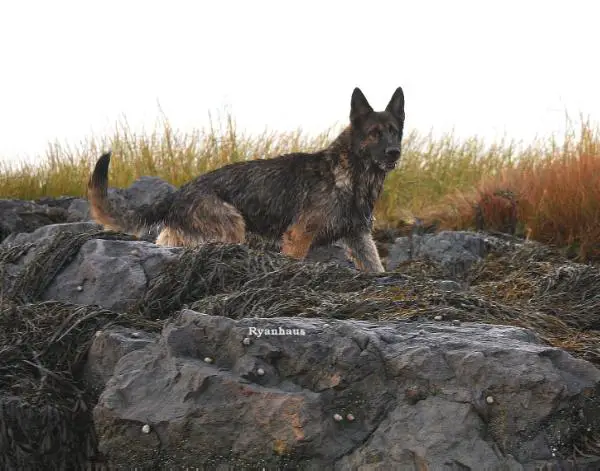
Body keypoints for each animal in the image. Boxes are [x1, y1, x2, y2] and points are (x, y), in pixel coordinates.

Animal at [86, 87, 406, 272]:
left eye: (394, 131)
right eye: (375, 133)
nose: (394, 152)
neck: (351, 175)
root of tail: (177, 194)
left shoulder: (360, 239)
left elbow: (376, 268)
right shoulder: (298, 237)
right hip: (232, 228)